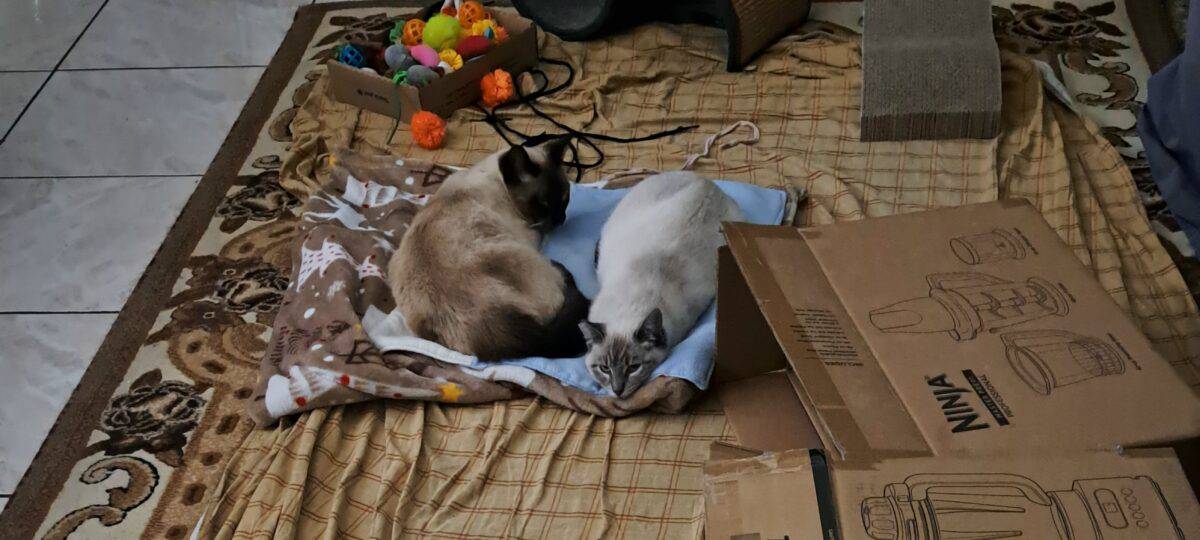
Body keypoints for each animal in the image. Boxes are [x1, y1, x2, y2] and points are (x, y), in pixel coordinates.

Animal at [386, 137, 588, 360]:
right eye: (543, 205)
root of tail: (491, 325)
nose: (561, 219)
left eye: (565, 199)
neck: (494, 179)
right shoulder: (532, 233)